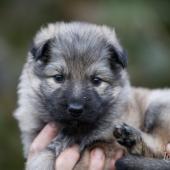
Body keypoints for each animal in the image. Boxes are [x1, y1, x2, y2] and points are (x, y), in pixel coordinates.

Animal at [13, 21, 170, 169]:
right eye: (58, 78)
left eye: (96, 80)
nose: (75, 109)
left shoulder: (106, 143)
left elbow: (46, 156)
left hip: (157, 105)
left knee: (160, 146)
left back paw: (132, 137)